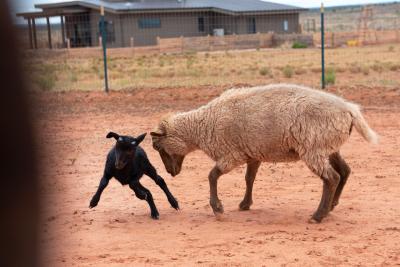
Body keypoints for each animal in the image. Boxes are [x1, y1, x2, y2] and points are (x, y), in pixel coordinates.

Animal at [150, 84, 378, 224]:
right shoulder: (252, 154)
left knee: (331, 178)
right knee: (345, 172)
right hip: (327, 147)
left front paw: (218, 208)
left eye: (158, 148)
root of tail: (349, 110)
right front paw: (245, 204)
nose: (170, 173)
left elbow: (212, 176)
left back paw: (318, 215)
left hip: (313, 148)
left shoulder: (232, 154)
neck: (202, 125)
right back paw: (332, 206)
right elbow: (249, 178)